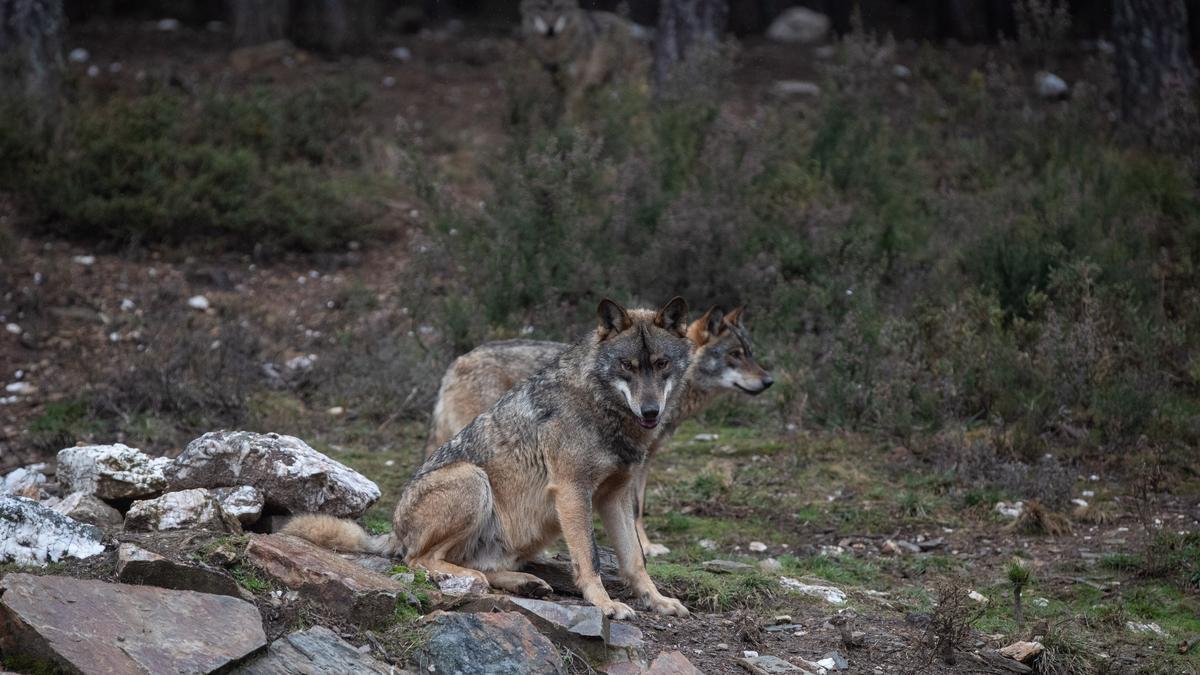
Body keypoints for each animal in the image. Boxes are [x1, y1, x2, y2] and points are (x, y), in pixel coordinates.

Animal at [284, 296, 691, 619]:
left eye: (661, 364)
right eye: (627, 366)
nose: (651, 411)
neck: (602, 408)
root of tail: (394, 532)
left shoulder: (615, 496)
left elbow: (635, 559)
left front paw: (657, 601)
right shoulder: (573, 491)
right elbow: (589, 557)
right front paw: (605, 605)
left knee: (475, 563)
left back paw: (524, 582)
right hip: (474, 481)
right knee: (419, 560)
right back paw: (469, 577)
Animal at [427, 306, 772, 557]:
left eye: (750, 352)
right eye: (735, 355)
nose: (769, 381)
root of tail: (456, 362)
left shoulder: (643, 459)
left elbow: (637, 506)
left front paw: (643, 545)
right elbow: (635, 507)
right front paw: (644, 547)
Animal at [518, 0, 652, 115]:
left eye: (558, 8)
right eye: (541, 7)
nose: (551, 29)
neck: (555, 50)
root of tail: (627, 26)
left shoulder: (576, 83)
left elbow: (570, 108)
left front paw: (568, 125)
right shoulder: (557, 81)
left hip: (619, 83)